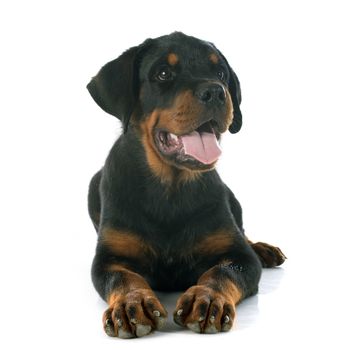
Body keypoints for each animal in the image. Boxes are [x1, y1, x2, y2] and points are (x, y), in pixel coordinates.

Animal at [87, 31, 284, 338]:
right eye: (163, 73)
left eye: (220, 73)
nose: (216, 91)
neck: (170, 189)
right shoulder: (109, 258)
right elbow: (124, 277)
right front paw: (132, 305)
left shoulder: (239, 255)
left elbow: (223, 271)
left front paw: (208, 299)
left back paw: (262, 249)